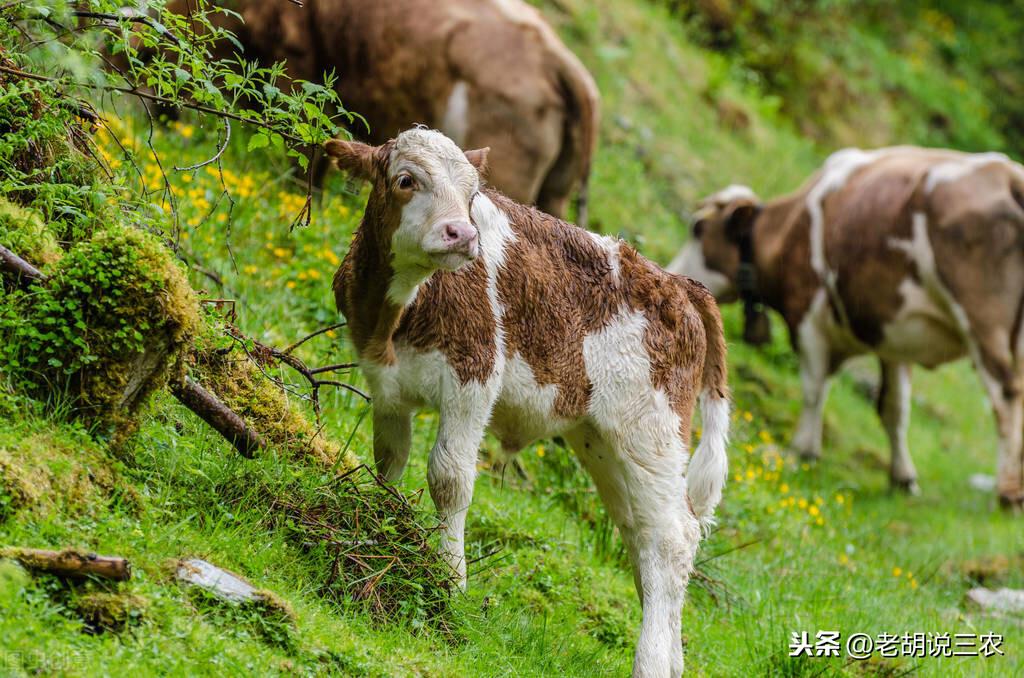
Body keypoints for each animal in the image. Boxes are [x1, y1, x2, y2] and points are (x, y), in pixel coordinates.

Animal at [325, 129, 729, 678]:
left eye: (472, 192)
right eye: (405, 180)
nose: (462, 234)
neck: (397, 315)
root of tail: (678, 284)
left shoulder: (474, 377)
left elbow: (449, 478)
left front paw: (449, 583)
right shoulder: (385, 385)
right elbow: (388, 464)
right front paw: (379, 526)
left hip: (651, 430)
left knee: (673, 538)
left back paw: (649, 662)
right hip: (601, 440)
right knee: (642, 539)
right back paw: (670, 660)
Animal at [667, 150, 1024, 510]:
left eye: (698, 228)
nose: (670, 274)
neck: (787, 229)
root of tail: (1009, 175)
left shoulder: (808, 317)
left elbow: (814, 389)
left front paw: (803, 449)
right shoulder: (894, 338)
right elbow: (894, 408)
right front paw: (903, 478)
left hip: (980, 320)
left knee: (1005, 395)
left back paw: (1008, 492)